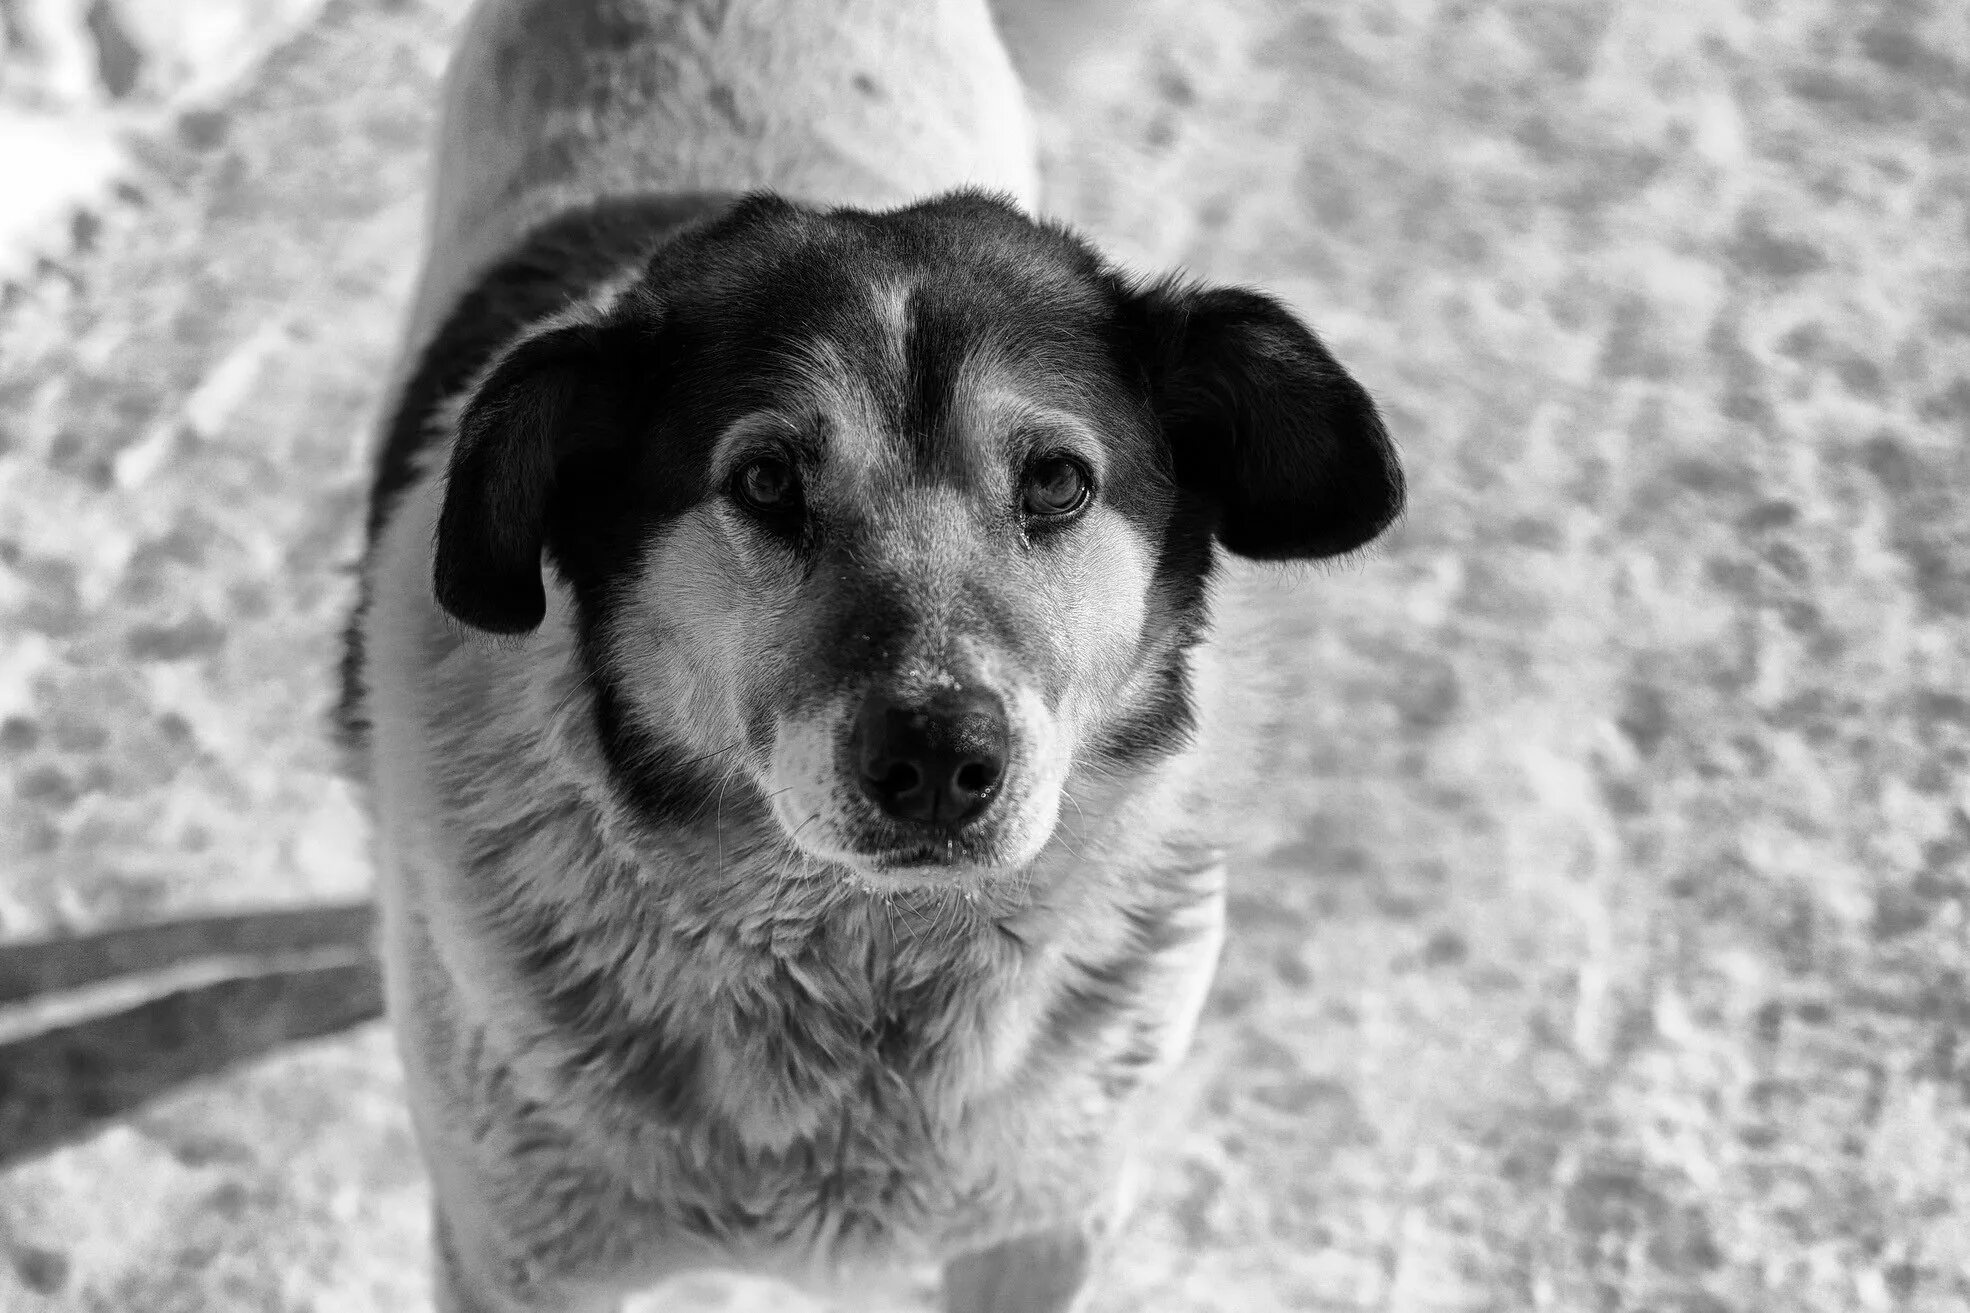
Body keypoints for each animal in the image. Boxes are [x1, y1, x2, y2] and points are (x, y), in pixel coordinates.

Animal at [346, 2, 1410, 1309]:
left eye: (1056, 480)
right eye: (764, 480)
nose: (941, 759)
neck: (869, 962)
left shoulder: (1047, 1223)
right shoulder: (516, 1256)